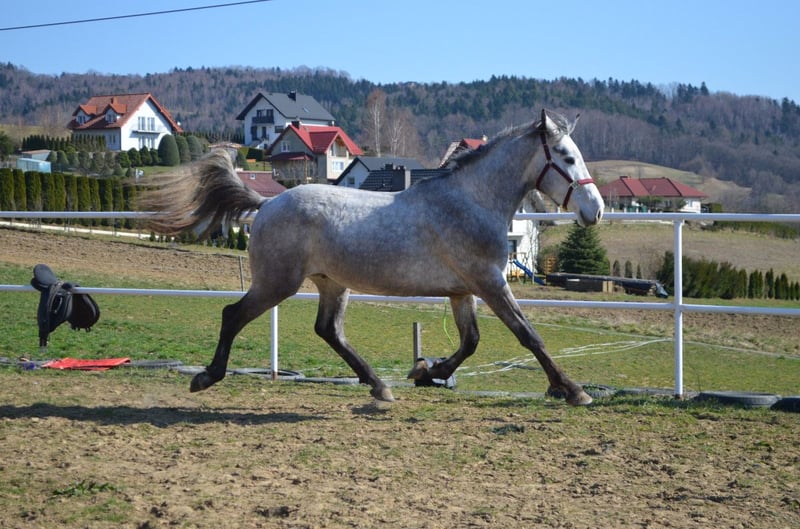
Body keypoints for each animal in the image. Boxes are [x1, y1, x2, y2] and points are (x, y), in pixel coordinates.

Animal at [143, 109, 605, 406]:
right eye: (567, 157)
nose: (595, 210)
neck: (470, 201)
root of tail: (268, 204)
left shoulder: (463, 291)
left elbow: (470, 341)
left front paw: (427, 371)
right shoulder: (490, 282)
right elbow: (529, 336)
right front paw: (574, 390)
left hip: (331, 283)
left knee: (328, 330)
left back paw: (379, 386)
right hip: (277, 283)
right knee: (233, 314)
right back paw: (206, 377)